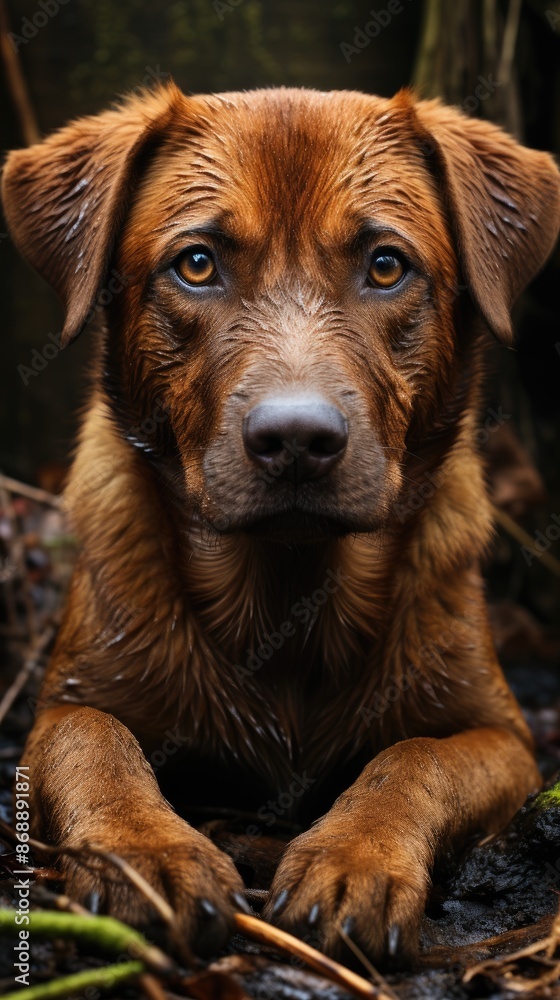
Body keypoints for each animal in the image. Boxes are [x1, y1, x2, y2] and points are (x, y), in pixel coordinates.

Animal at [4, 84, 560, 960]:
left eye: (386, 265)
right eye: (197, 264)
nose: (297, 438)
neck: (289, 591)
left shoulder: (502, 735)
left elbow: (413, 758)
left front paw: (354, 858)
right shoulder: (64, 701)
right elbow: (97, 744)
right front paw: (148, 855)